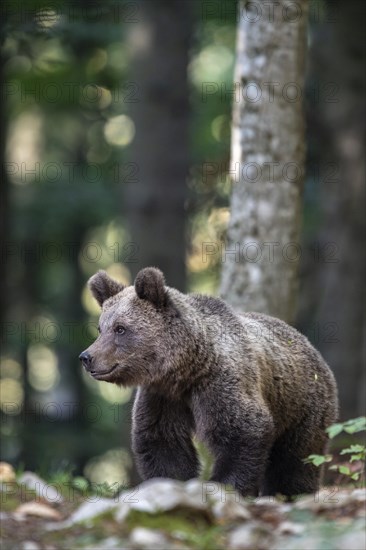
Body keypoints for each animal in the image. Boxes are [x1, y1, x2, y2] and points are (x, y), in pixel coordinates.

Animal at [79, 268, 338, 500]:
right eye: (100, 328)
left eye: (120, 328)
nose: (86, 357)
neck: (186, 370)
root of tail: (308, 344)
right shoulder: (162, 396)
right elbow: (162, 442)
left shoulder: (219, 384)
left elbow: (242, 431)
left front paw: (224, 486)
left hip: (301, 405)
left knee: (296, 458)